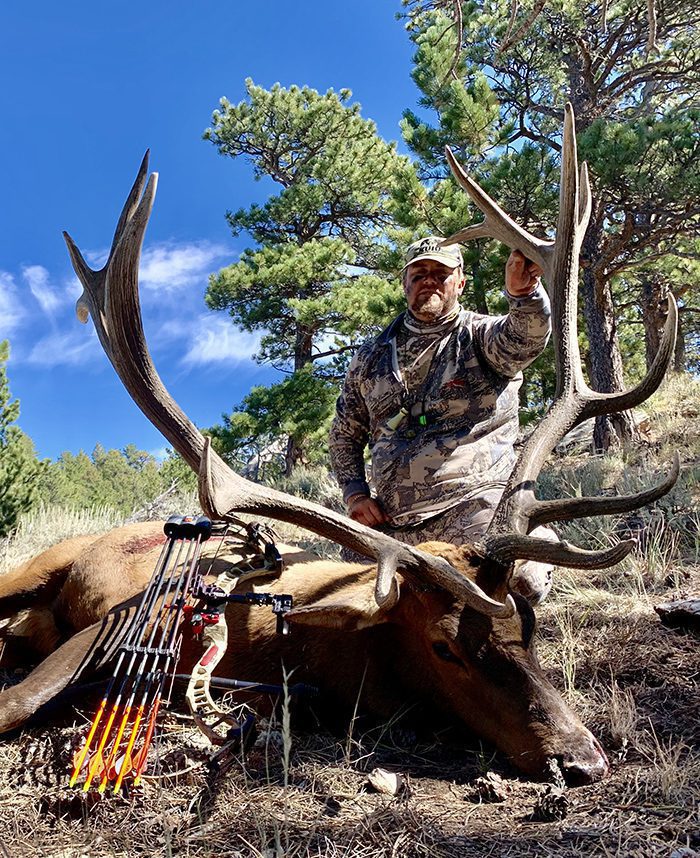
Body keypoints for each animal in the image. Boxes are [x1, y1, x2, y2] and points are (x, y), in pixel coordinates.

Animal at [0, 105, 678, 784]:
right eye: (444, 645)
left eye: (527, 625)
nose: (582, 757)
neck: (304, 648)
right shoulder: (122, 622)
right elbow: (17, 703)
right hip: (37, 563)